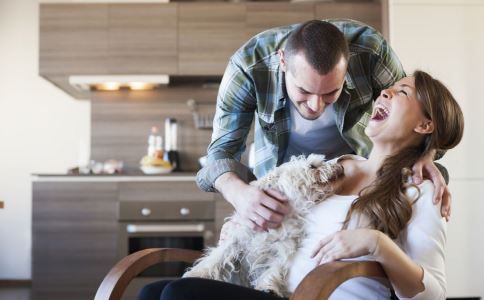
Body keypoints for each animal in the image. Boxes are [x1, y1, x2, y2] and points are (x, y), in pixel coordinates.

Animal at [182, 155, 344, 298]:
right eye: (313, 166)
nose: (339, 167)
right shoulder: (236, 240)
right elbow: (215, 259)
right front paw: (196, 274)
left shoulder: (281, 249)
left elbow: (274, 270)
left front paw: (269, 288)